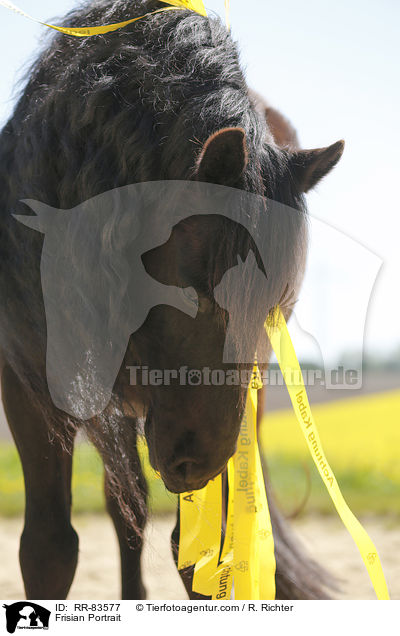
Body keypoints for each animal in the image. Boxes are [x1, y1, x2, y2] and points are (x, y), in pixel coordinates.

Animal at [0, 0, 344, 600]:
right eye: (193, 290)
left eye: (275, 306)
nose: (193, 462)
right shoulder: (28, 378)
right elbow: (49, 548)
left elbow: (201, 550)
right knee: (125, 505)